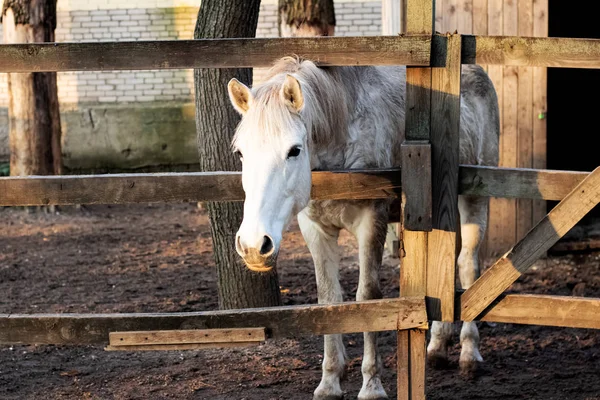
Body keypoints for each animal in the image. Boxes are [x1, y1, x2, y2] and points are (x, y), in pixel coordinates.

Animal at [227, 57, 500, 400]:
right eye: (240, 152)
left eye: (294, 150)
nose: (253, 245)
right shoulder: (316, 229)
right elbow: (329, 297)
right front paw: (330, 381)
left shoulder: (371, 223)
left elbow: (367, 297)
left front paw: (371, 385)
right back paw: (438, 347)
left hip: (475, 199)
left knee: (468, 266)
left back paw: (469, 353)